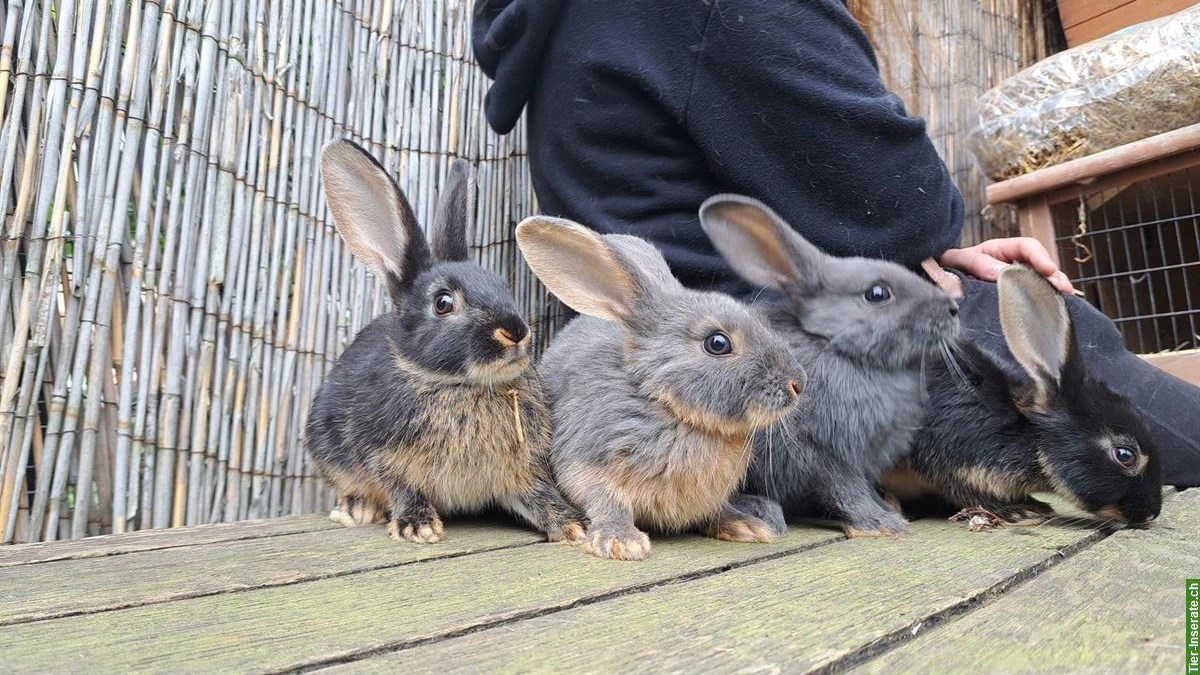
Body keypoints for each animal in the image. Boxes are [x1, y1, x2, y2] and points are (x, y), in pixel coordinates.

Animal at [307, 139, 588, 542]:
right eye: (443, 303)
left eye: (503, 287)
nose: (516, 331)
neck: (459, 385)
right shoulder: (384, 459)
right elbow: (402, 487)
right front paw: (418, 526)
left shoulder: (522, 471)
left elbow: (539, 495)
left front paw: (573, 525)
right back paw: (357, 509)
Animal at [516, 214, 806, 557]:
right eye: (718, 343)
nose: (798, 383)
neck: (671, 408)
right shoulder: (587, 462)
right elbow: (606, 501)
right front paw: (623, 543)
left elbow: (716, 510)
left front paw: (746, 526)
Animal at [700, 193, 960, 535]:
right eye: (878, 293)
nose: (953, 309)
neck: (836, 345)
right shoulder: (825, 454)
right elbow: (847, 490)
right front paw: (883, 524)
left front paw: (886, 509)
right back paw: (755, 517)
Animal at [883, 261, 1161, 521]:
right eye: (1125, 454)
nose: (1152, 513)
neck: (1031, 437)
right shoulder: (956, 461)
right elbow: (968, 491)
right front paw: (1023, 511)